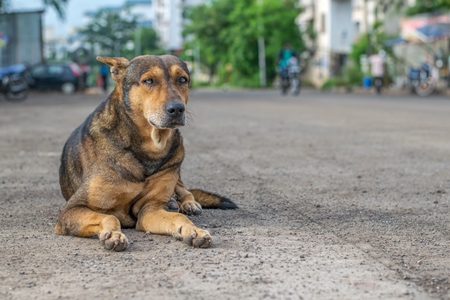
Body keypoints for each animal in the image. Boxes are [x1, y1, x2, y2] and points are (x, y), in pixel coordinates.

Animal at [55, 54, 237, 251]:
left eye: (182, 79)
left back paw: (187, 203)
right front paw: (113, 233)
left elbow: (178, 217)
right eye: (149, 80)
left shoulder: (150, 209)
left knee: (185, 190)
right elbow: (109, 216)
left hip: (176, 166)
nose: (177, 109)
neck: (148, 149)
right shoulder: (72, 209)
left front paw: (193, 230)